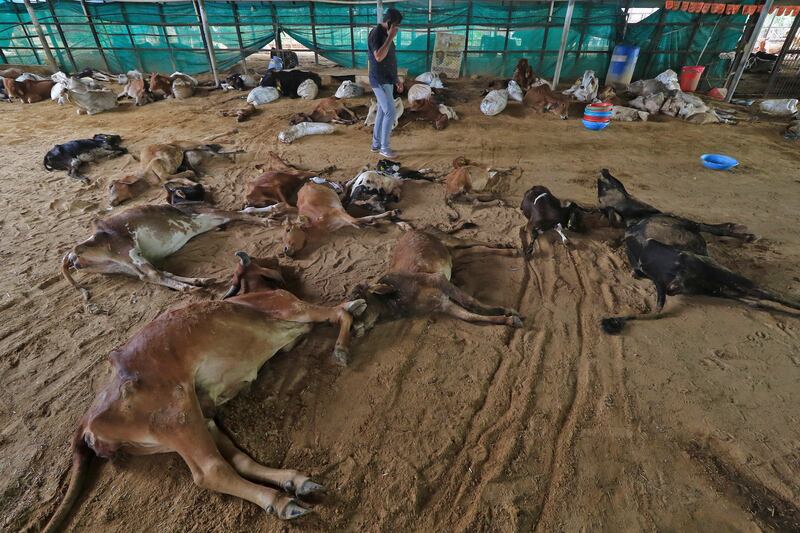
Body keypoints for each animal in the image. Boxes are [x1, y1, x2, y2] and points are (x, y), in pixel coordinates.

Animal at [42, 250, 368, 532]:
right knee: (210, 471)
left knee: (238, 460)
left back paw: (296, 482)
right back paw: (282, 502)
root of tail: (86, 422)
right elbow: (339, 313)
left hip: (195, 421)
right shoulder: (293, 307)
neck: (251, 296)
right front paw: (343, 345)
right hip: (177, 417)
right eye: (261, 260)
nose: (285, 260)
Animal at [108, 141, 241, 206]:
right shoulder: (166, 180)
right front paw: (197, 181)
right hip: (190, 150)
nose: (110, 203)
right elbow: (177, 180)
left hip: (190, 145)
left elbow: (173, 175)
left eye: (111, 186)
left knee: (208, 146)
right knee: (208, 148)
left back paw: (233, 154)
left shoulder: (158, 163)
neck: (146, 177)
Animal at [346, 222, 520, 334]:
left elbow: (470, 303)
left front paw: (507, 310)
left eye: (360, 301)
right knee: (475, 250)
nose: (353, 331)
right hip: (453, 253)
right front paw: (508, 319)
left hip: (448, 240)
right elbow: (471, 317)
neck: (397, 300)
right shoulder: (442, 304)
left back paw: (509, 249)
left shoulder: (437, 279)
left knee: (471, 241)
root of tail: (416, 228)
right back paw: (506, 249)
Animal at [600, 213, 800, 332]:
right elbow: (709, 227)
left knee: (755, 300)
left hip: (715, 286)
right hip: (719, 272)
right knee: (764, 292)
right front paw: (744, 234)